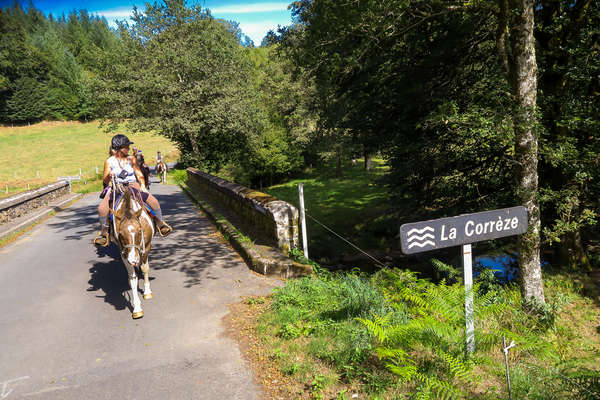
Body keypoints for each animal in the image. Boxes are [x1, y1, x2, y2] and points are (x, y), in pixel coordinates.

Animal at [109, 184, 154, 318]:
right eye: (120, 234)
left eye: (140, 231)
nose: (133, 259)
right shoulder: (124, 253)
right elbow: (133, 277)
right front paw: (137, 308)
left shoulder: (146, 247)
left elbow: (145, 268)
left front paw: (147, 292)